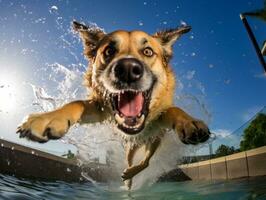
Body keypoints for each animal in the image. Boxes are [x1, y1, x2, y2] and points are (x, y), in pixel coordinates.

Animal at [16, 21, 210, 190]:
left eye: (148, 51)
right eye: (109, 51)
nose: (128, 69)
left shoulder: (159, 119)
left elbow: (173, 110)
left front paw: (189, 122)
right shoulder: (98, 109)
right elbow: (77, 103)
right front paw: (50, 118)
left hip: (155, 141)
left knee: (146, 161)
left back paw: (130, 176)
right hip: (130, 149)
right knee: (134, 162)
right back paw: (128, 182)